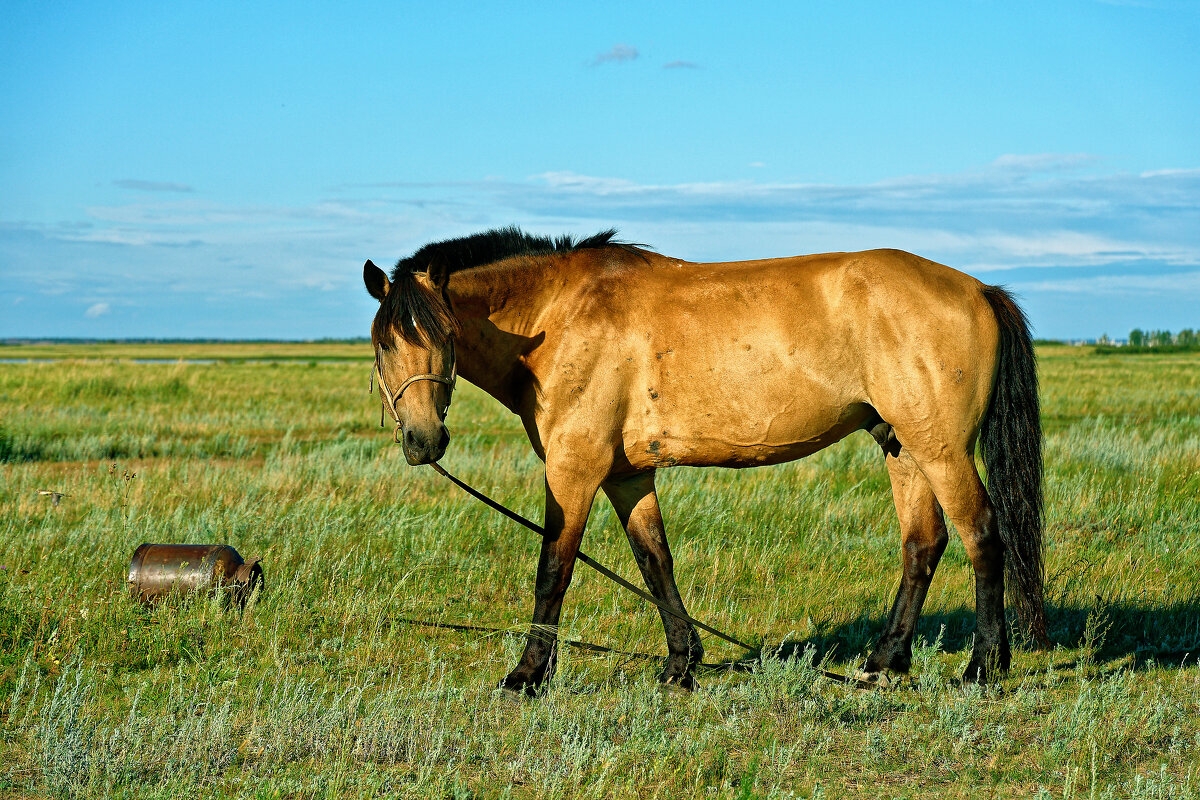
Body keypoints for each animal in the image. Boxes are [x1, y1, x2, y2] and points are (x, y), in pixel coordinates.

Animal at [360, 226, 1046, 695]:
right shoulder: (626, 475)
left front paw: (528, 675)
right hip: (903, 445)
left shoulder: (573, 470)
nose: (424, 442)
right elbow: (655, 562)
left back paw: (983, 666)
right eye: (384, 344)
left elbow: (553, 569)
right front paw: (680, 663)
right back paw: (884, 662)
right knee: (923, 543)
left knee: (983, 534)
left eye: (445, 337)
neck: (560, 316)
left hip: (940, 449)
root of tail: (978, 289)